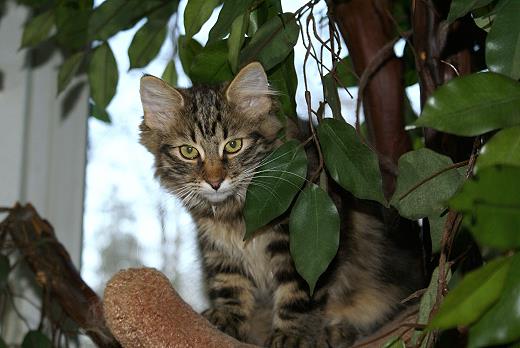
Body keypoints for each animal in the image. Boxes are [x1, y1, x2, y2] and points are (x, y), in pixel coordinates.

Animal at [140, 62, 424, 348]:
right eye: (188, 152)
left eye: (233, 146)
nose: (215, 182)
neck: (238, 213)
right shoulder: (219, 249)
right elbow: (230, 286)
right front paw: (226, 320)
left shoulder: (304, 242)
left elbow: (299, 294)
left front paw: (291, 335)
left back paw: (337, 333)